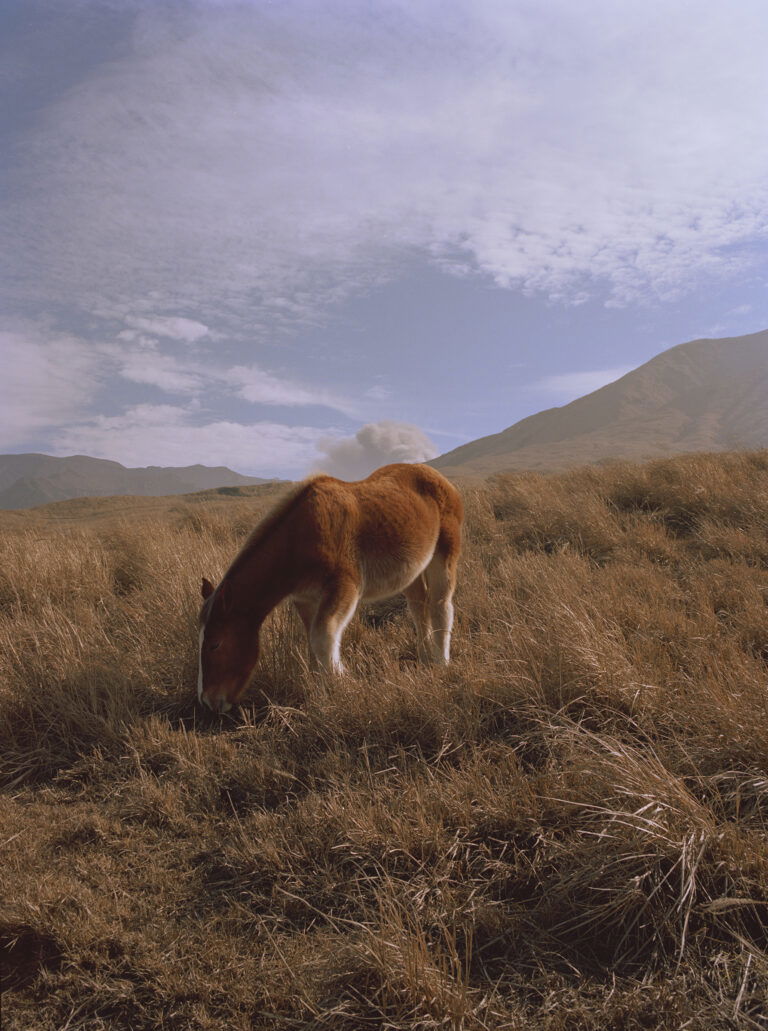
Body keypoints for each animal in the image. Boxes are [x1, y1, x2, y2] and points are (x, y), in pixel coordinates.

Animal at [195, 466, 461, 713]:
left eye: (216, 644)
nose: (208, 701)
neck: (298, 539)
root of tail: (439, 477)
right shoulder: (306, 599)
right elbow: (312, 643)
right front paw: (320, 693)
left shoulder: (344, 587)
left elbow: (323, 636)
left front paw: (342, 686)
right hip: (412, 568)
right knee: (418, 606)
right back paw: (425, 658)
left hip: (444, 554)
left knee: (440, 605)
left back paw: (441, 663)